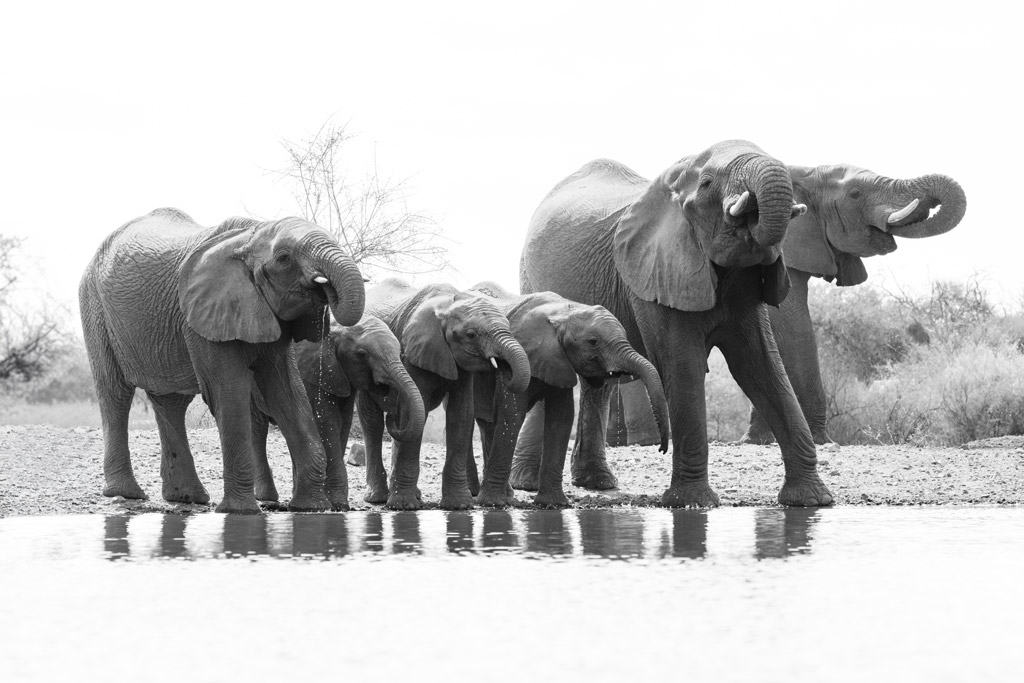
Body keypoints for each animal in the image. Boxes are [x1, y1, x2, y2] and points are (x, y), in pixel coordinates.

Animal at [79, 208, 365, 513]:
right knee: (115, 392)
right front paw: (240, 512)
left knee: (171, 403)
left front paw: (309, 508)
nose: (324, 287)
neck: (248, 237)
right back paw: (127, 493)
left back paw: (188, 498)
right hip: (94, 306)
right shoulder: (202, 315)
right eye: (284, 258)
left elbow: (288, 392)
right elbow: (228, 391)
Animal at [250, 315, 426, 510]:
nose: (393, 415)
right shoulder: (312, 373)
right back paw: (266, 496)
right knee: (257, 429)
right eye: (362, 354)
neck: (336, 328)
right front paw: (338, 504)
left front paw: (331, 501)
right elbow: (328, 423)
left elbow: (343, 422)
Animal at [364, 279, 531, 510]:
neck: (446, 304)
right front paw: (404, 507)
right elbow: (415, 410)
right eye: (471, 335)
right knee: (373, 423)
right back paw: (379, 498)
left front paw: (458, 506)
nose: (502, 365)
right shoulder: (414, 352)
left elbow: (461, 414)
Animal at [465, 281, 669, 508]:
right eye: (593, 341)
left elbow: (561, 419)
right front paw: (494, 504)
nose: (662, 449)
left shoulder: (558, 359)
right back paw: (476, 493)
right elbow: (513, 414)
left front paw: (553, 504)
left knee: (487, 424)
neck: (565, 312)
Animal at [520, 139, 833, 508]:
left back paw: (598, 483)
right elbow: (683, 366)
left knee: (598, 382)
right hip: (531, 279)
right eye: (708, 183)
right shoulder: (654, 275)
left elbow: (760, 366)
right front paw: (692, 503)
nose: (749, 207)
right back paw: (527, 484)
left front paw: (812, 501)